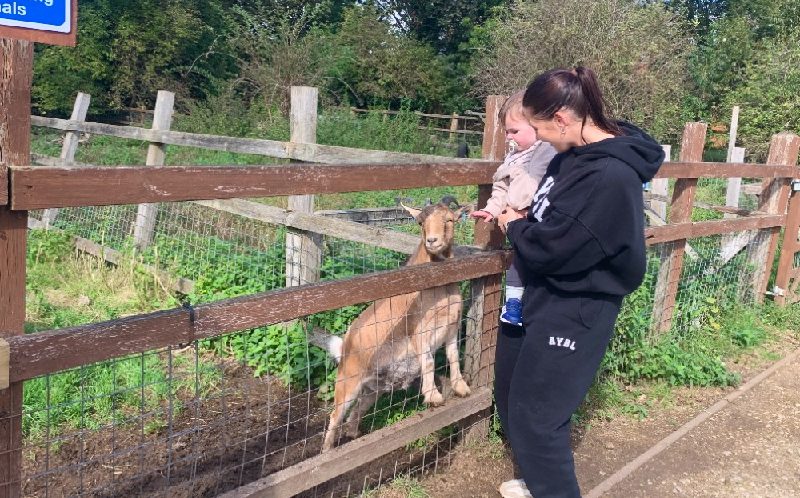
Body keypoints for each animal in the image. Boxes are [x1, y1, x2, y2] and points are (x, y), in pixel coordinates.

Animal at [314, 198, 476, 452]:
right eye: (421, 222)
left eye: (450, 219)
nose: (432, 241)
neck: (438, 288)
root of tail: (345, 343)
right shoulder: (418, 330)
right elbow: (428, 361)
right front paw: (434, 397)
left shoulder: (452, 325)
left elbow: (452, 355)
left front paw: (461, 388)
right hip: (348, 380)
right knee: (335, 414)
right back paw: (328, 451)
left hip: (373, 387)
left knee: (360, 406)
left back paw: (353, 433)